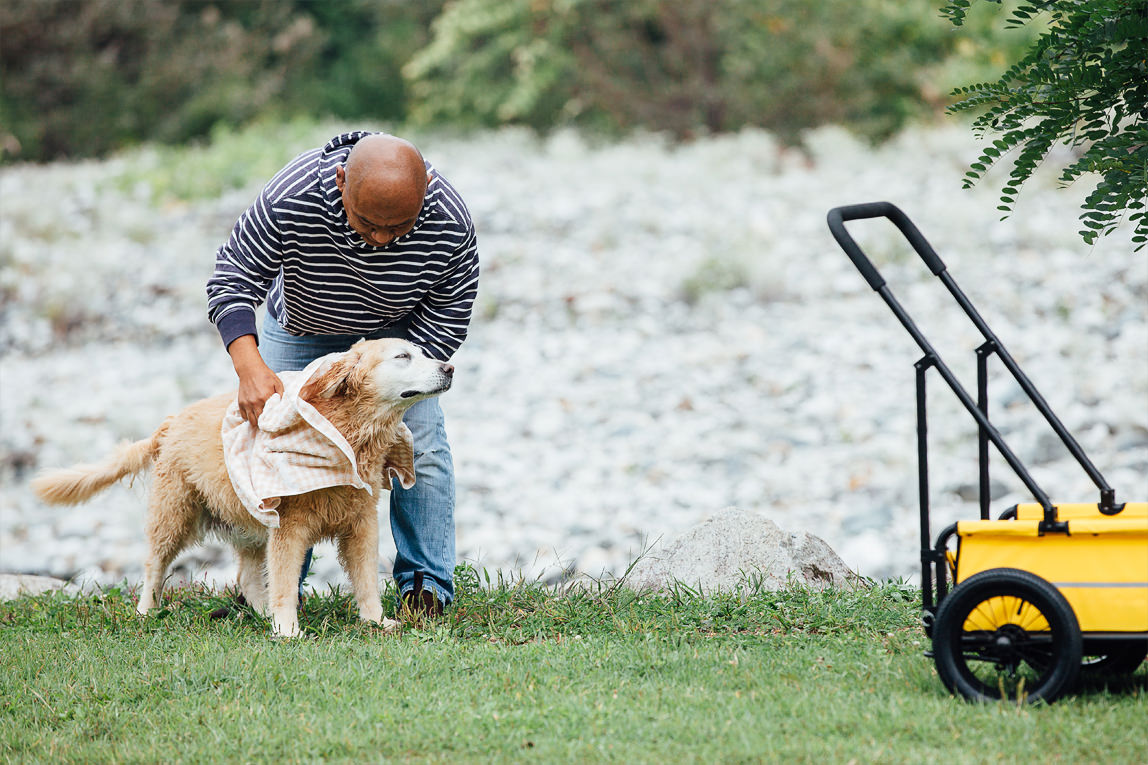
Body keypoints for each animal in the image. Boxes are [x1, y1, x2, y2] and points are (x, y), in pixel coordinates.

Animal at [31, 337, 452, 634]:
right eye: (403, 357)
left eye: (423, 352)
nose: (449, 367)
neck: (345, 435)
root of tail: (170, 422)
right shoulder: (289, 529)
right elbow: (285, 582)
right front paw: (287, 629)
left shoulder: (360, 524)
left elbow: (365, 581)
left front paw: (376, 621)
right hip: (175, 514)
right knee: (154, 565)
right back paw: (147, 611)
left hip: (250, 525)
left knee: (248, 578)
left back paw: (261, 613)